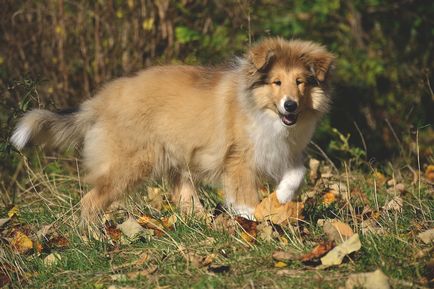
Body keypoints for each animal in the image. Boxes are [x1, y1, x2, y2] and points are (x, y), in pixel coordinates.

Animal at [11, 37, 336, 222]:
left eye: (300, 82)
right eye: (276, 82)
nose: (290, 106)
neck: (261, 109)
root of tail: (100, 101)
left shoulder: (283, 151)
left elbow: (297, 173)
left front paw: (280, 198)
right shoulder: (238, 161)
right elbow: (245, 198)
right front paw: (253, 220)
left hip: (175, 161)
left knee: (185, 200)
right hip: (130, 164)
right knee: (90, 201)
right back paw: (94, 239)